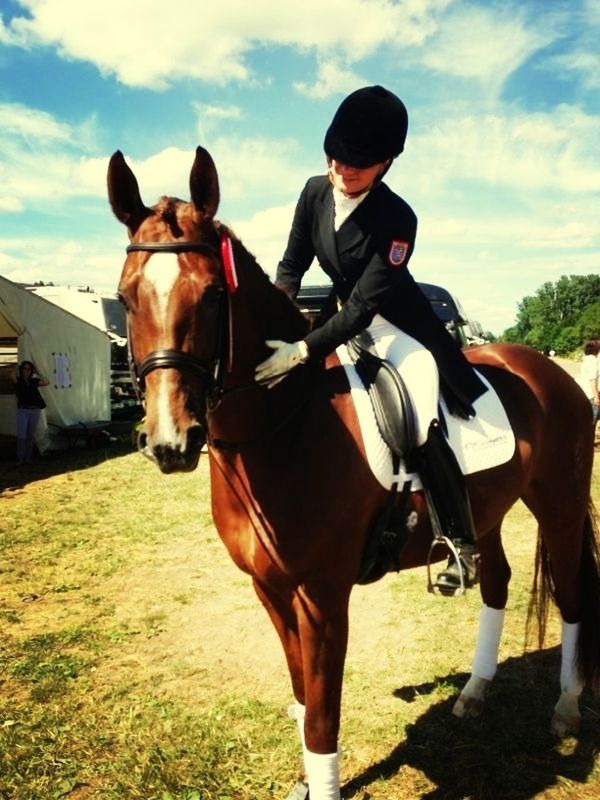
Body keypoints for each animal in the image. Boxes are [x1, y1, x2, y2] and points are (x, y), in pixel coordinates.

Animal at [108, 145, 600, 800]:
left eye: (213, 294)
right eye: (125, 296)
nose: (170, 442)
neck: (284, 423)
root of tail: (548, 370)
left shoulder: (322, 596)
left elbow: (321, 714)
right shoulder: (270, 589)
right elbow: (300, 697)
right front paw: (307, 781)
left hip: (561, 502)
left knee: (571, 594)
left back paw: (566, 710)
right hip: (489, 512)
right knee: (496, 580)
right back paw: (474, 691)